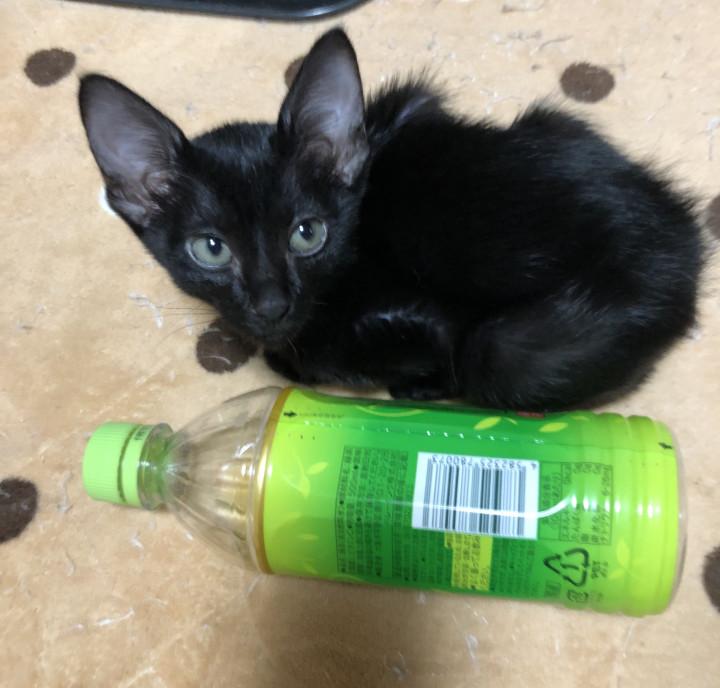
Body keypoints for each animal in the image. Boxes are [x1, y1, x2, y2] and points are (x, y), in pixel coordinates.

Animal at [78, 28, 703, 410]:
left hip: (509, 351)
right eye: (211, 248)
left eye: (307, 234)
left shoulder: (432, 325)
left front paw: (398, 382)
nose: (272, 305)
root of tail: (683, 236)